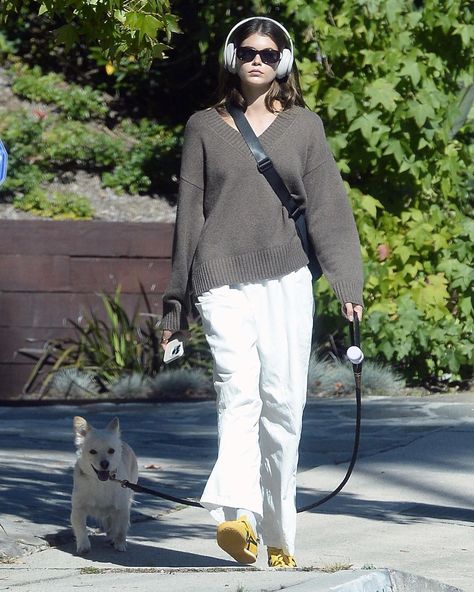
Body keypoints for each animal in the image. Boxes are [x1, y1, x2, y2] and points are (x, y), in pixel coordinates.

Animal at [70, 416, 138, 556]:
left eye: (111, 451)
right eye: (92, 452)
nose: (105, 463)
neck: (101, 483)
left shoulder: (122, 508)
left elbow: (121, 529)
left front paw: (120, 543)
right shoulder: (78, 510)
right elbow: (81, 528)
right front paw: (83, 546)